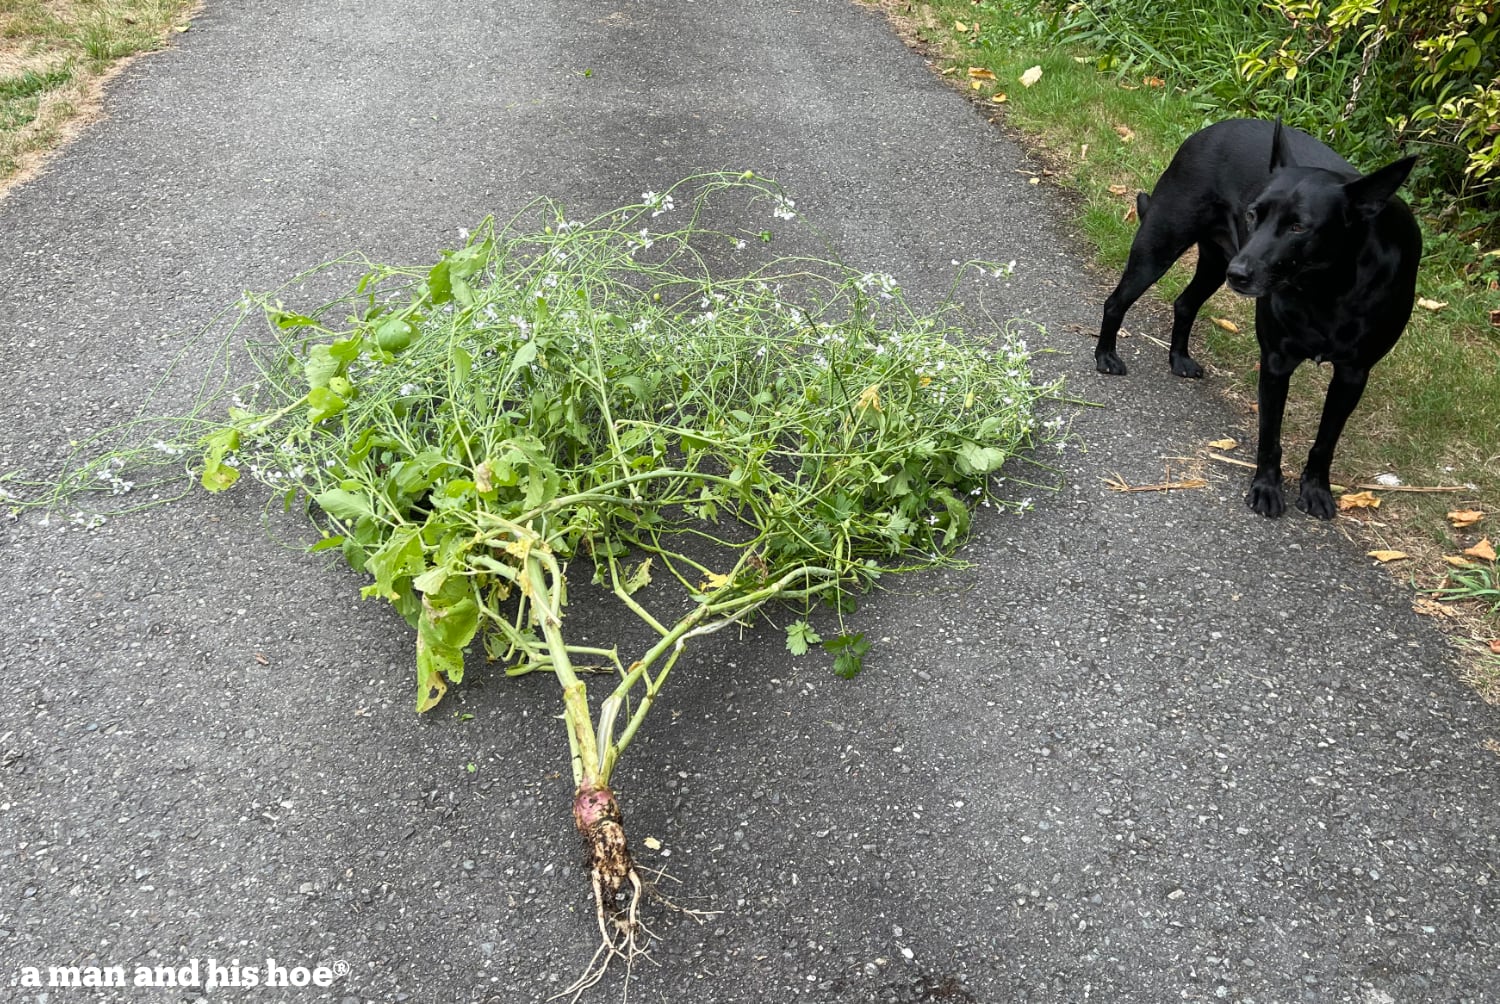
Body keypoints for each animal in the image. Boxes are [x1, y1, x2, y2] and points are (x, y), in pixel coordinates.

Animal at [1092, 119, 1416, 516]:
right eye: (1252, 214)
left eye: (1299, 227)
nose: (1240, 273)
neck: (1328, 289)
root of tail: (1211, 130)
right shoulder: (1276, 363)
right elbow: (1269, 435)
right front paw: (1266, 487)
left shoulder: (1352, 376)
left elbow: (1326, 441)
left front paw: (1316, 489)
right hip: (1161, 248)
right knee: (1115, 303)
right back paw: (1106, 355)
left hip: (1213, 265)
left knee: (1185, 304)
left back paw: (1179, 358)